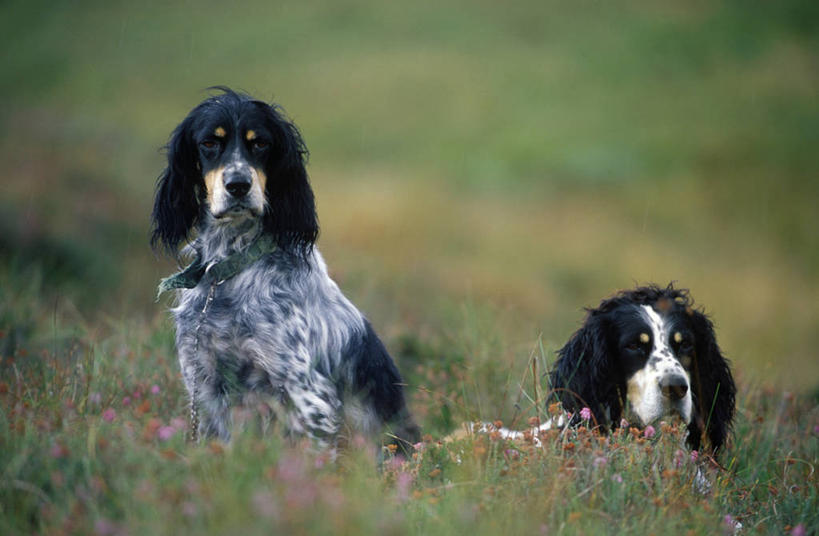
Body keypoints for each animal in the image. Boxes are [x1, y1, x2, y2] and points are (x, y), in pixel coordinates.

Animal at [154, 88, 420, 452]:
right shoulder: (206, 383)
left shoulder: (309, 396)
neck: (230, 270)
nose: (238, 184)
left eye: (260, 143)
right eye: (209, 142)